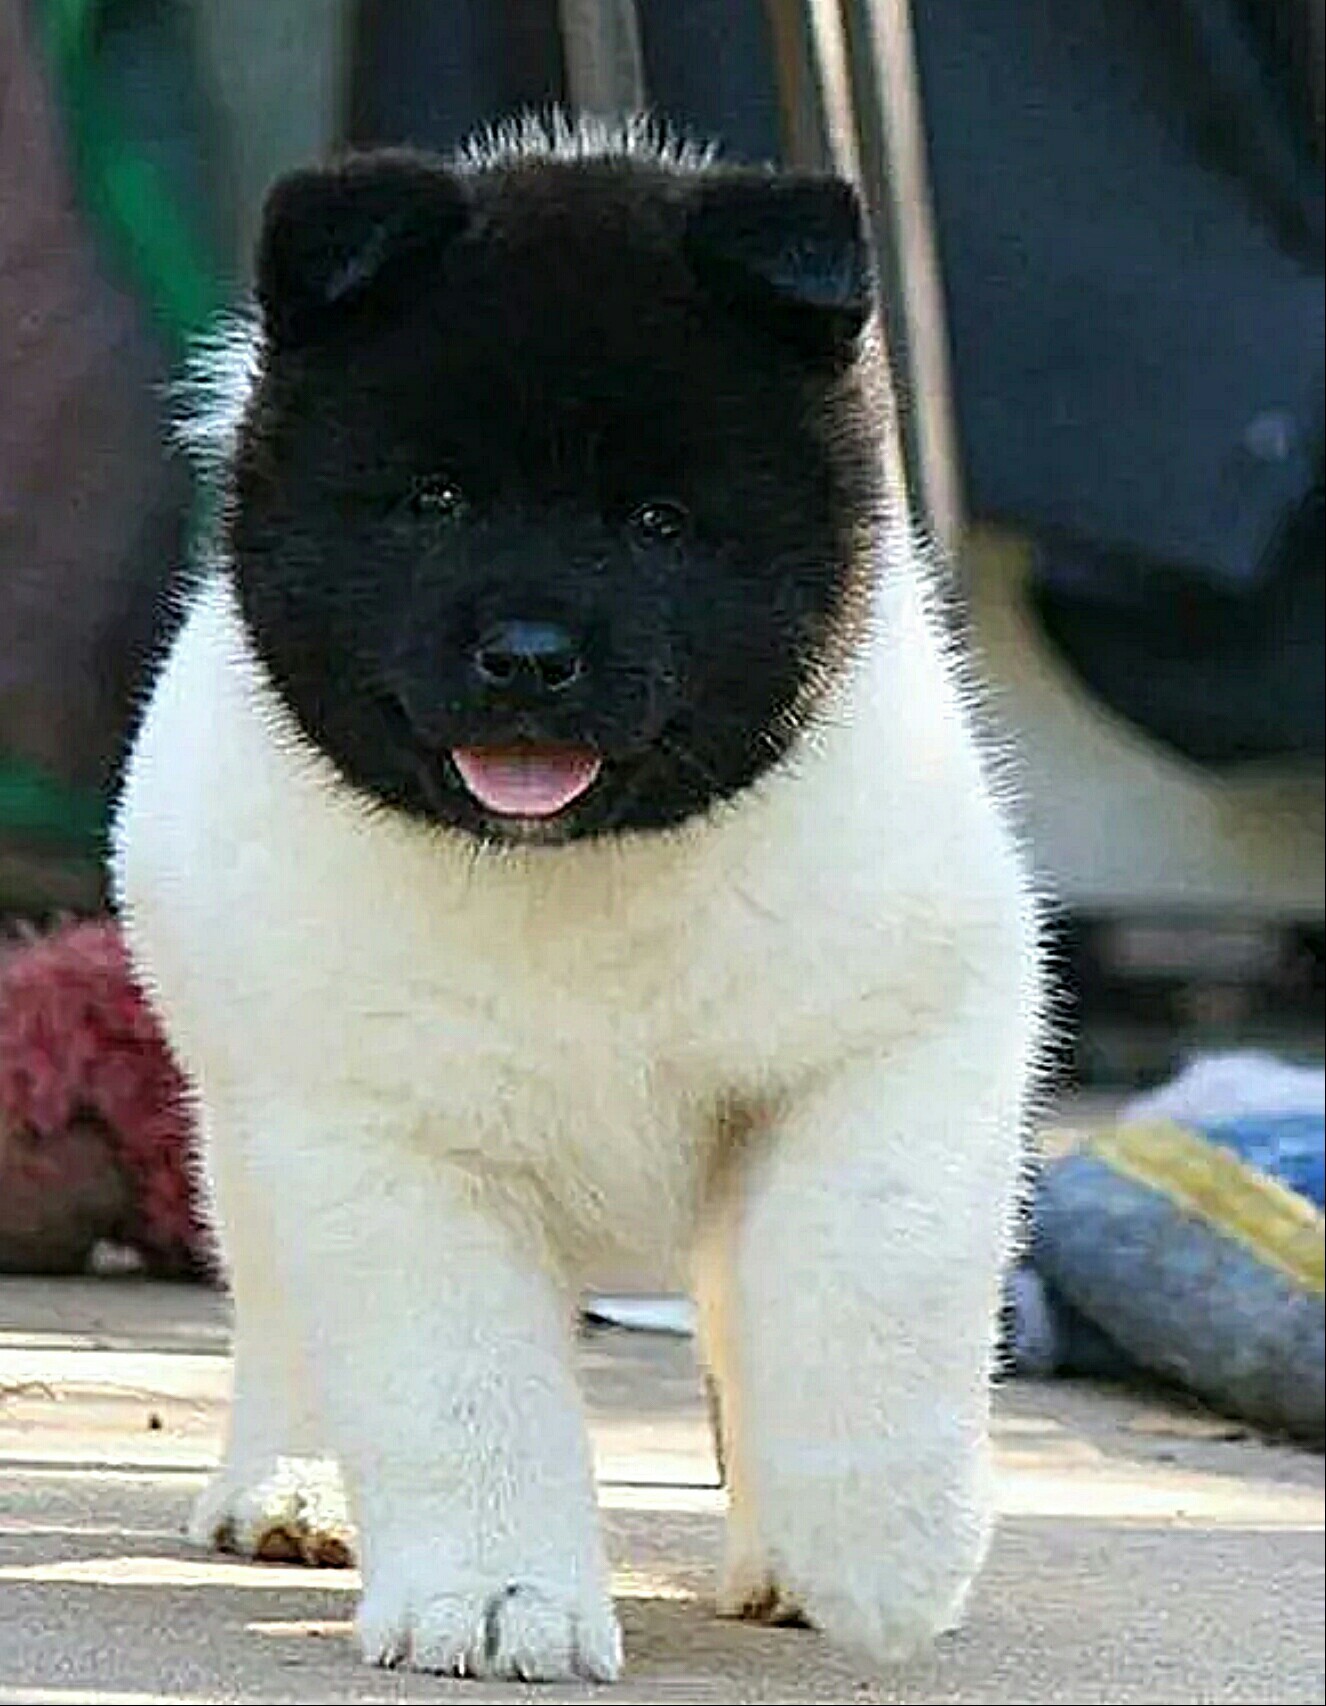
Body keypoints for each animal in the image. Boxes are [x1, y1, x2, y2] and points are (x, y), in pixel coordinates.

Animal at [113, 113, 1037, 1685]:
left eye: (659, 521)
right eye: (434, 502)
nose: (529, 655)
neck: (574, 877)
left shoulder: (902, 1036)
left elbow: (873, 1266)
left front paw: (883, 1549)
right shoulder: (384, 1134)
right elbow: (456, 1382)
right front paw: (496, 1599)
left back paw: (774, 1558)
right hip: (241, 1112)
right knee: (281, 1307)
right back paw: (291, 1489)